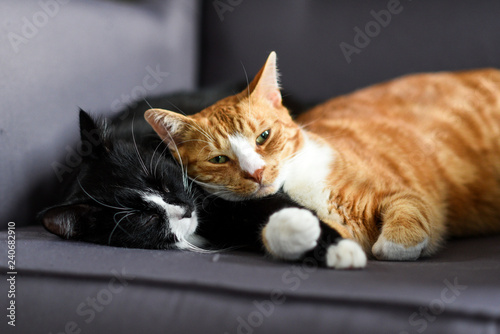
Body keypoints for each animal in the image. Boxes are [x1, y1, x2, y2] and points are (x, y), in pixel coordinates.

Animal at [145, 51, 500, 266]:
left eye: (263, 137)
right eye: (218, 159)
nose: (256, 173)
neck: (299, 184)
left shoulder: (406, 193)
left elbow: (407, 216)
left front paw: (391, 245)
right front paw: (295, 230)